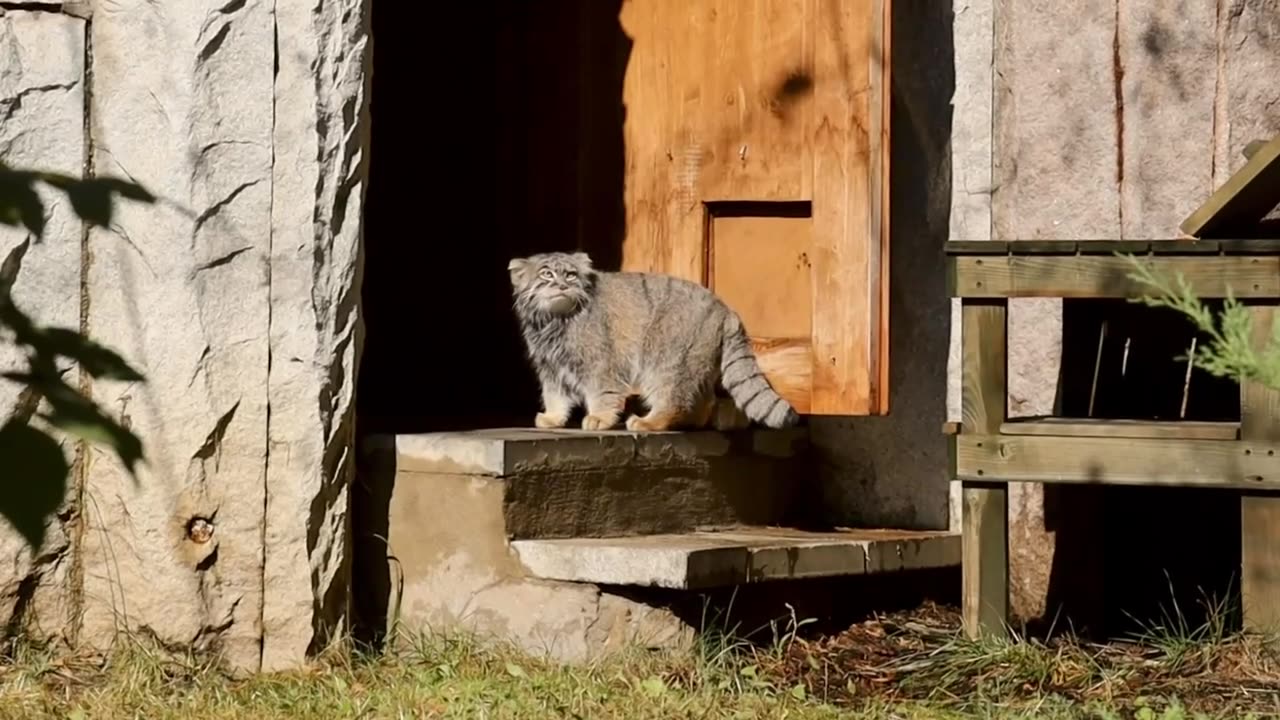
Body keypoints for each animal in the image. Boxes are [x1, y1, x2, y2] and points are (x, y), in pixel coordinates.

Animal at [501, 251, 793, 427]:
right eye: (546, 274)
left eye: (571, 275)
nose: (563, 286)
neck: (553, 320)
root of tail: (726, 308)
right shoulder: (551, 367)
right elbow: (554, 395)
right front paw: (553, 418)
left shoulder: (601, 364)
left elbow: (602, 393)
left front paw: (600, 418)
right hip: (696, 364)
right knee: (704, 400)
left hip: (667, 362)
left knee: (673, 400)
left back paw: (649, 422)